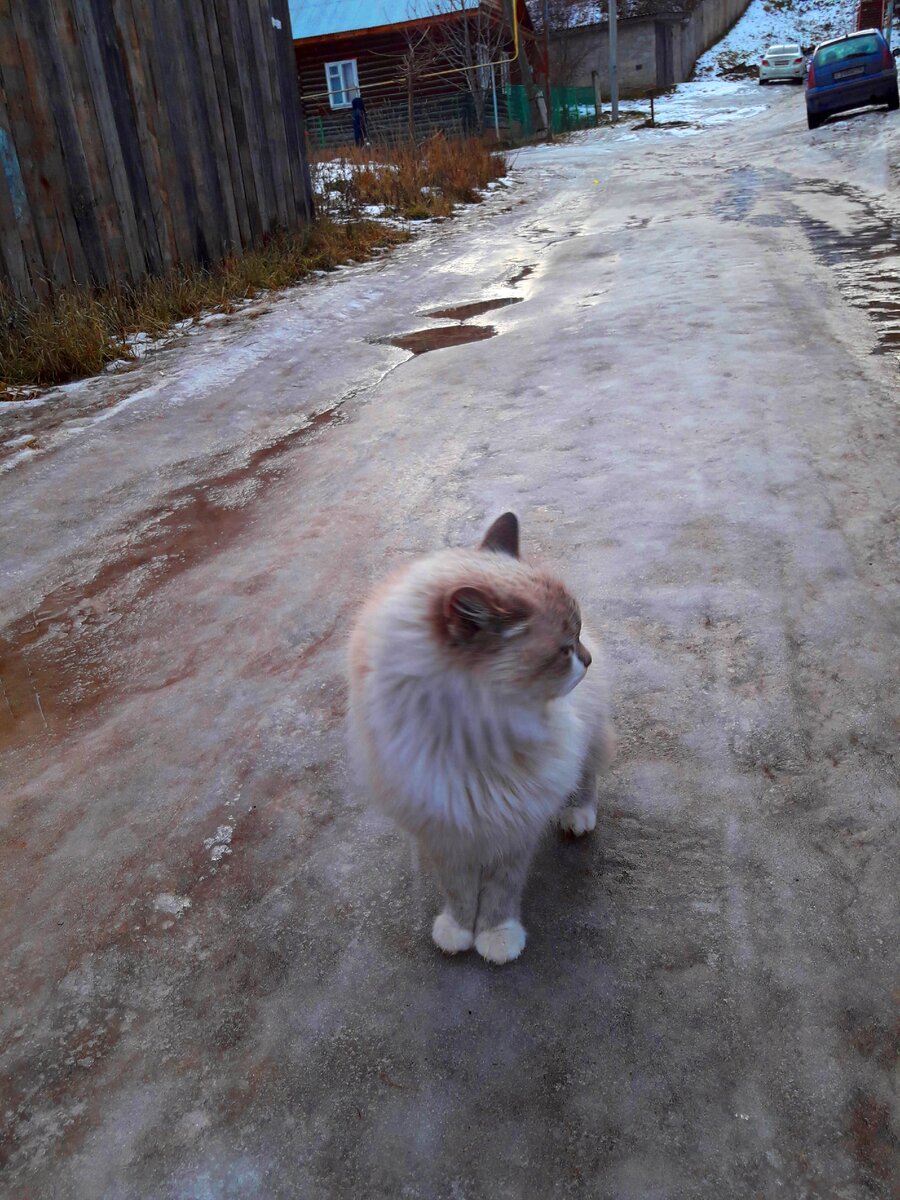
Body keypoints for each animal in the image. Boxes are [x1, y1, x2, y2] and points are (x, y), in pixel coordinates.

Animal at [345, 516, 614, 964]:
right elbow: (459, 893)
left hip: (587, 739)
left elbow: (500, 894)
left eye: (576, 638)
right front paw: (458, 932)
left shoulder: (513, 827)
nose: (588, 660)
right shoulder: (446, 830)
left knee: (587, 775)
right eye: (564, 650)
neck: (470, 740)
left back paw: (578, 816)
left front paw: (496, 939)